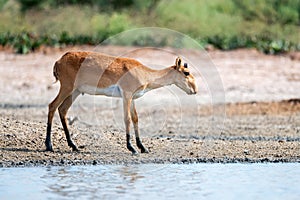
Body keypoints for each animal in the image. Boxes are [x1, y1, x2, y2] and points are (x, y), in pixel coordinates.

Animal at [45, 50, 198, 154]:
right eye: (186, 72)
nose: (195, 90)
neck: (144, 73)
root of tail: (59, 60)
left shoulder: (133, 98)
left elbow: (135, 118)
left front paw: (143, 147)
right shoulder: (127, 95)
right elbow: (127, 119)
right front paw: (131, 148)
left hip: (75, 91)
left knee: (62, 110)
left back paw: (74, 146)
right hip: (67, 88)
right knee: (52, 106)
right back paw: (49, 146)